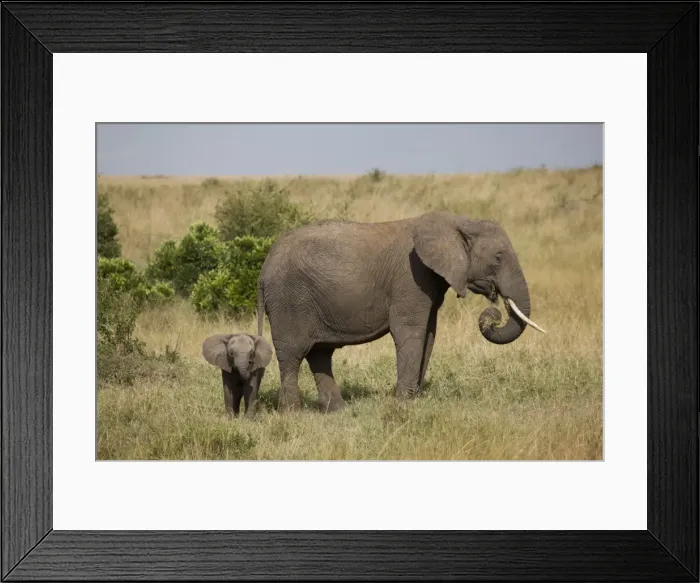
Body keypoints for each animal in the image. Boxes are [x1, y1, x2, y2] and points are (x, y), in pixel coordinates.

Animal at [256, 210, 546, 413]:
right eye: (498, 257)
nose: (493, 313)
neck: (458, 221)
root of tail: (264, 267)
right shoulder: (411, 276)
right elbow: (410, 332)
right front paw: (404, 403)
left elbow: (429, 334)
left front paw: (413, 399)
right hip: (288, 300)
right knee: (292, 354)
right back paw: (293, 413)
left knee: (320, 354)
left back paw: (338, 411)